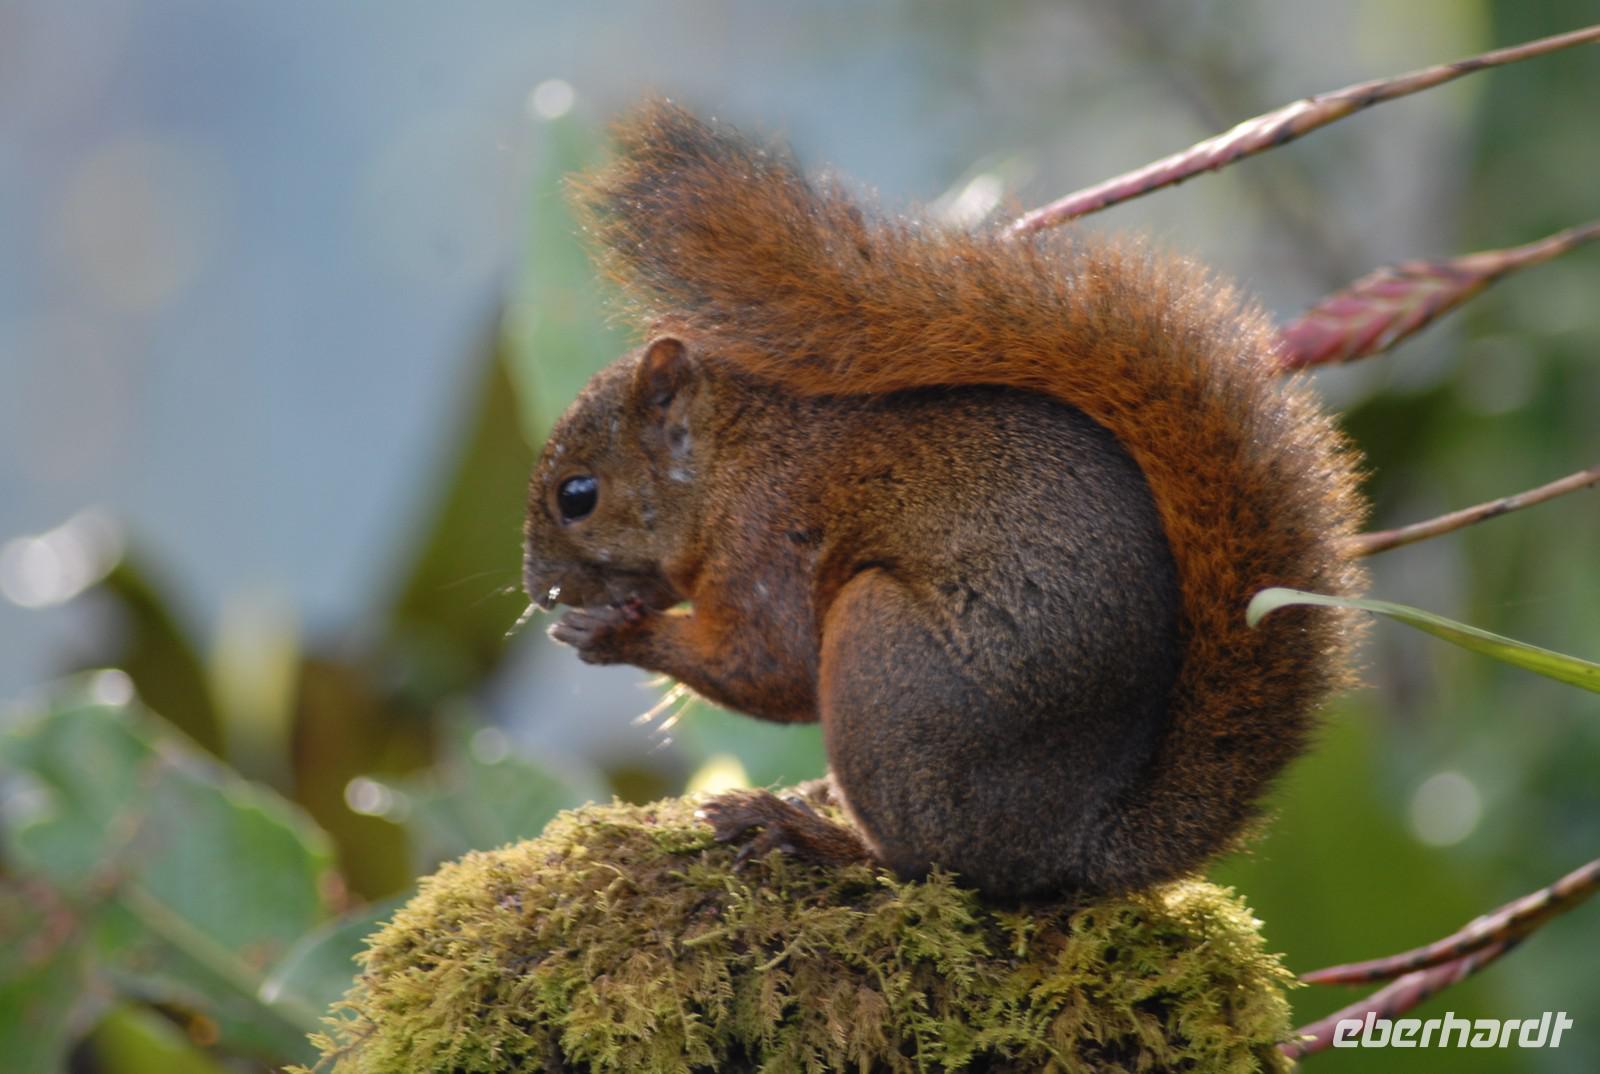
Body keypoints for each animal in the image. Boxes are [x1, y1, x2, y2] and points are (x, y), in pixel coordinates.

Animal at [522, 101, 1367, 899]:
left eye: (577, 495)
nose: (537, 590)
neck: (732, 463)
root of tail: (1076, 842)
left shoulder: (766, 547)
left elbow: (768, 667)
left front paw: (617, 634)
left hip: (886, 662)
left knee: (923, 864)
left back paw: (805, 832)